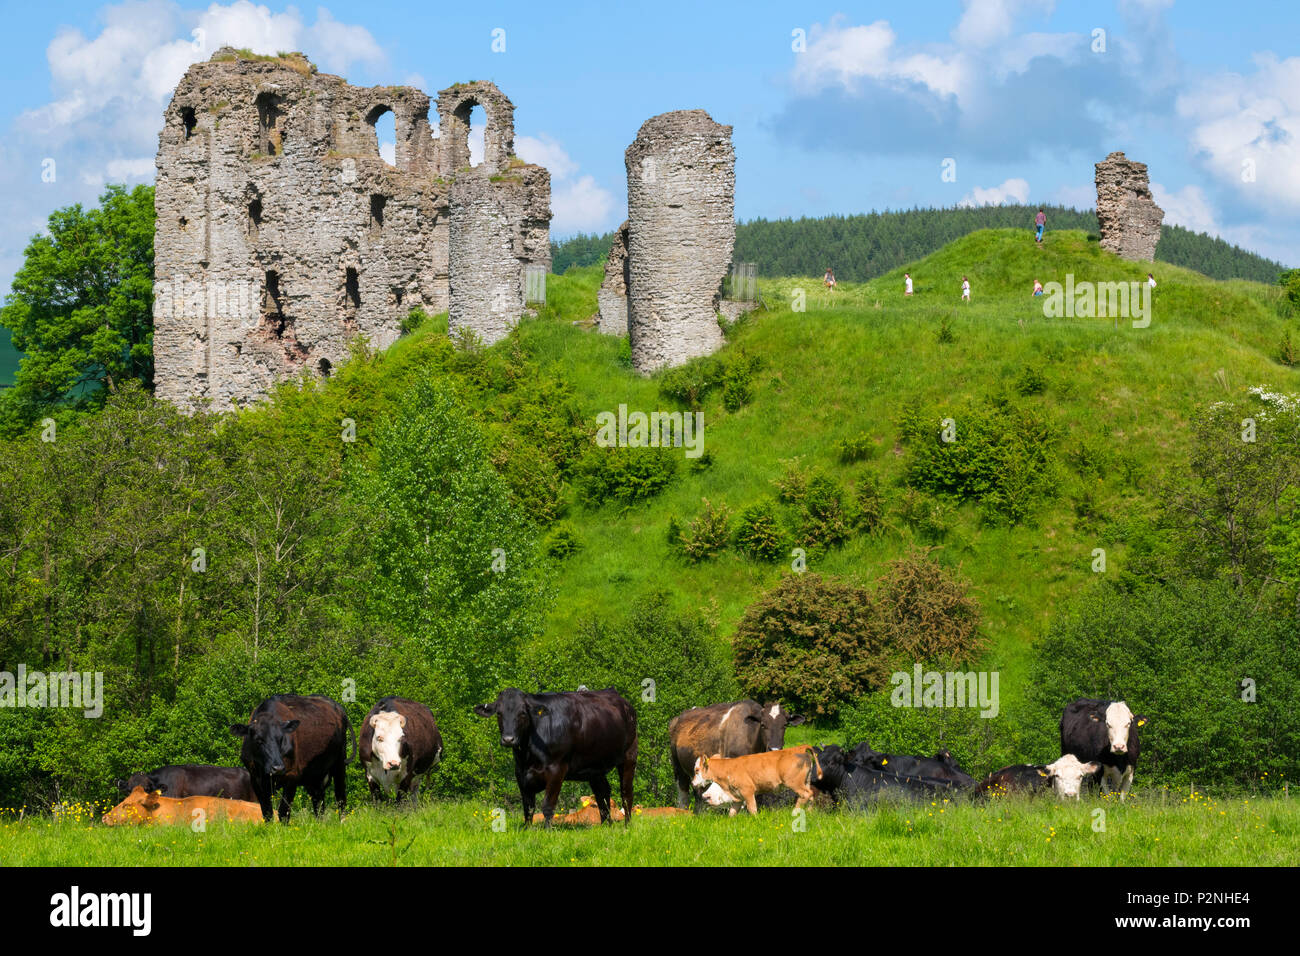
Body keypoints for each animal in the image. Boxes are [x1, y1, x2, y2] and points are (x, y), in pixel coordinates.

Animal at [478, 686, 639, 832]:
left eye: (522, 713)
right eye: (499, 713)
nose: (508, 739)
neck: (528, 755)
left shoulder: (557, 769)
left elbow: (547, 805)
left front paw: (548, 831)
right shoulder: (520, 772)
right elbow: (528, 807)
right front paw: (527, 830)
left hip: (629, 756)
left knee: (626, 793)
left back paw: (627, 826)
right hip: (595, 767)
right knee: (602, 793)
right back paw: (606, 825)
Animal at [670, 697, 800, 811]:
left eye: (785, 725)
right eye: (763, 725)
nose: (775, 748)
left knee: (699, 793)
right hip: (678, 767)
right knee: (683, 791)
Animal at [691, 749, 821, 816]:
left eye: (696, 770)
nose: (692, 783)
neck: (728, 768)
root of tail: (800, 749)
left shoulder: (748, 791)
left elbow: (752, 809)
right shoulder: (738, 796)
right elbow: (732, 812)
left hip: (794, 783)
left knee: (806, 795)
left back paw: (795, 812)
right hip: (805, 782)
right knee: (811, 795)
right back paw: (808, 812)